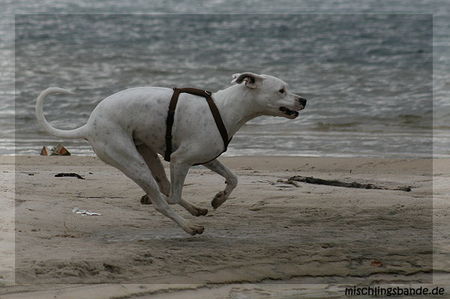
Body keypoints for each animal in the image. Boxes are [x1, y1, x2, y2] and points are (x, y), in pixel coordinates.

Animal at [37, 71, 308, 236]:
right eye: (282, 90)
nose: (304, 100)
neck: (225, 108)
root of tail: (89, 125)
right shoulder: (180, 160)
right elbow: (174, 197)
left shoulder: (207, 158)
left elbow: (233, 178)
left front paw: (219, 198)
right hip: (134, 163)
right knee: (163, 200)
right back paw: (188, 225)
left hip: (147, 155)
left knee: (165, 187)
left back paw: (195, 210)